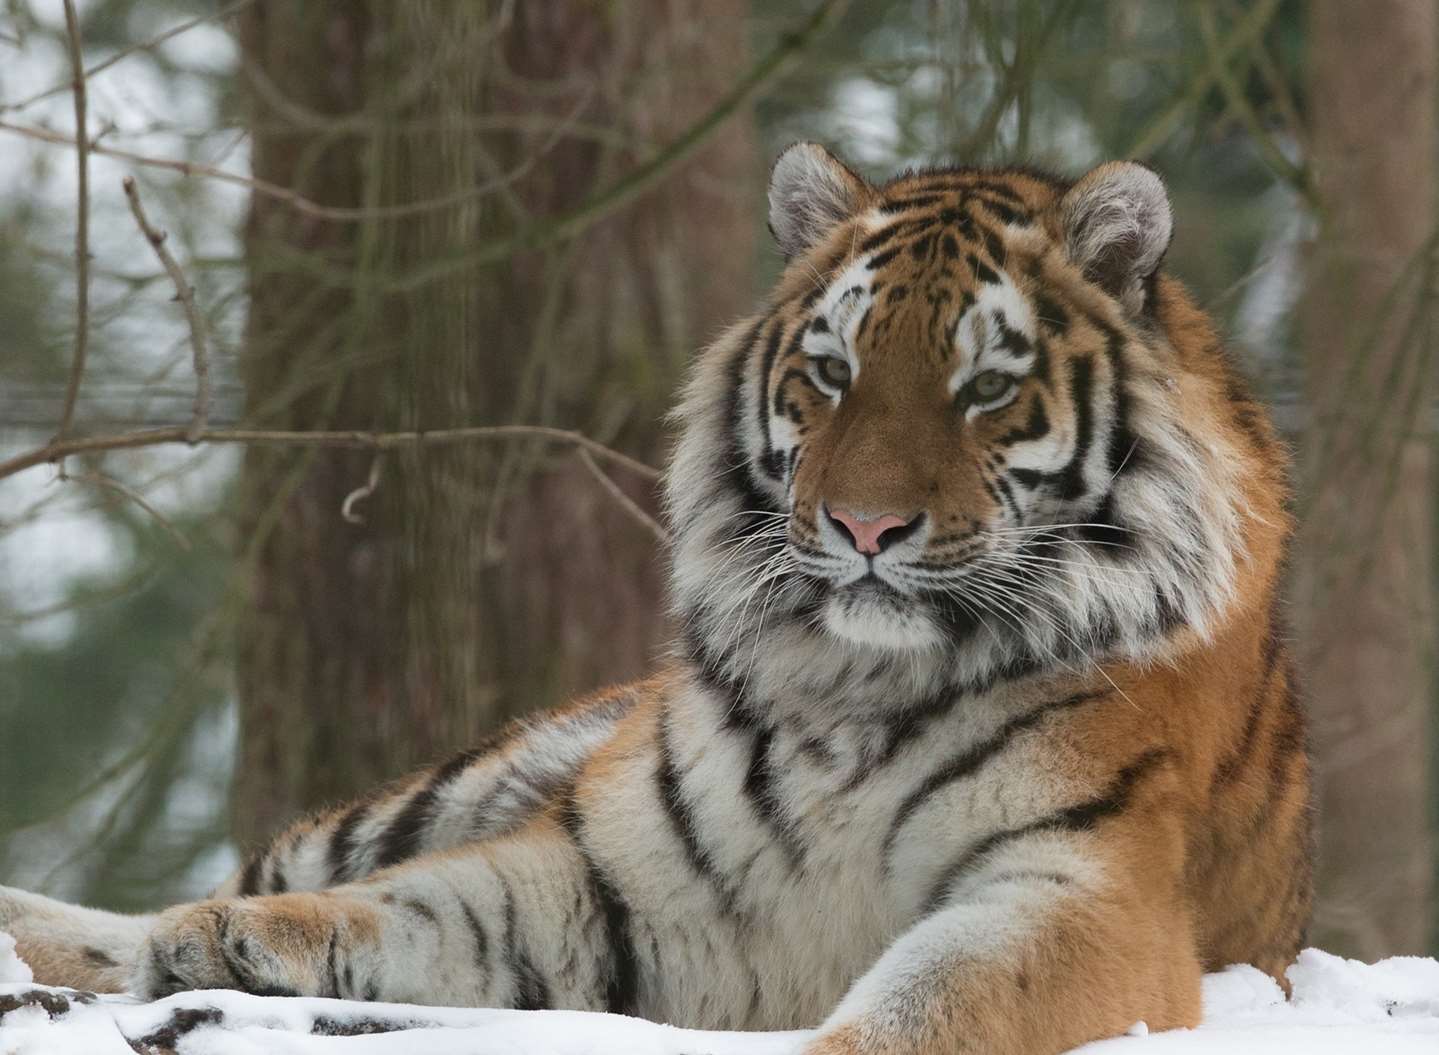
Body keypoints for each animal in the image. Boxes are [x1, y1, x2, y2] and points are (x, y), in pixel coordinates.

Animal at [0, 141, 1312, 1053]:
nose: (864, 527)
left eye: (984, 386)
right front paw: (242, 949)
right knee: (218, 891)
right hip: (452, 780)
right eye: (831, 370)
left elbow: (922, 1009)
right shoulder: (617, 880)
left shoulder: (1074, 892)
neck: (856, 687)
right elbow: (411, 911)